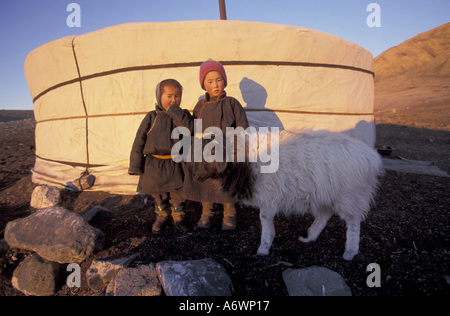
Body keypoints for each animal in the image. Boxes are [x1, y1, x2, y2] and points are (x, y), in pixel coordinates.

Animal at [192, 127, 384, 260]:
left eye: (212, 152)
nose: (194, 175)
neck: (244, 161)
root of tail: (372, 157)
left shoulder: (269, 195)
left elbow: (265, 219)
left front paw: (263, 248)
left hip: (351, 196)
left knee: (353, 223)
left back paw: (350, 252)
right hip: (327, 194)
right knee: (324, 215)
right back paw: (309, 237)